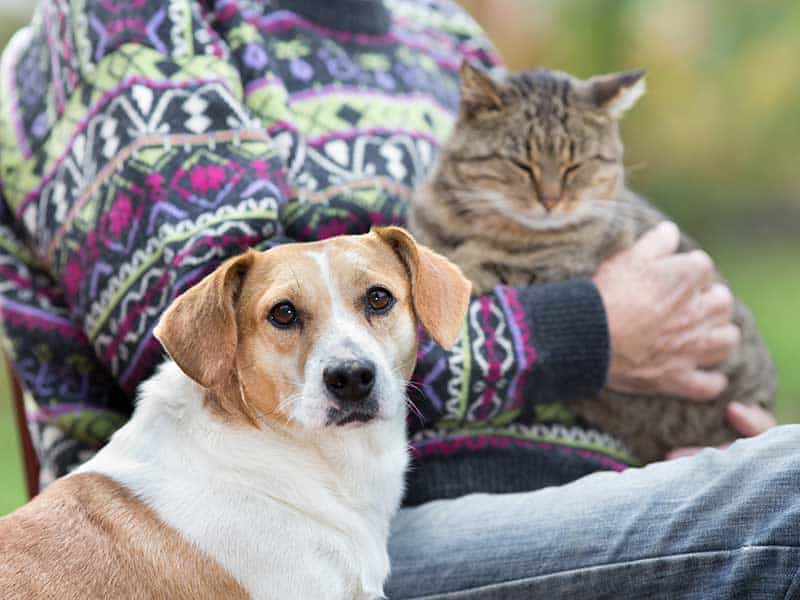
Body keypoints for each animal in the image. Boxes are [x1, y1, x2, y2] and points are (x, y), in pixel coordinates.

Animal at [406, 62, 776, 464]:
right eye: (521, 164)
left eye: (575, 165)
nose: (550, 200)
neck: (476, 224)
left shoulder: (561, 267)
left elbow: (485, 268)